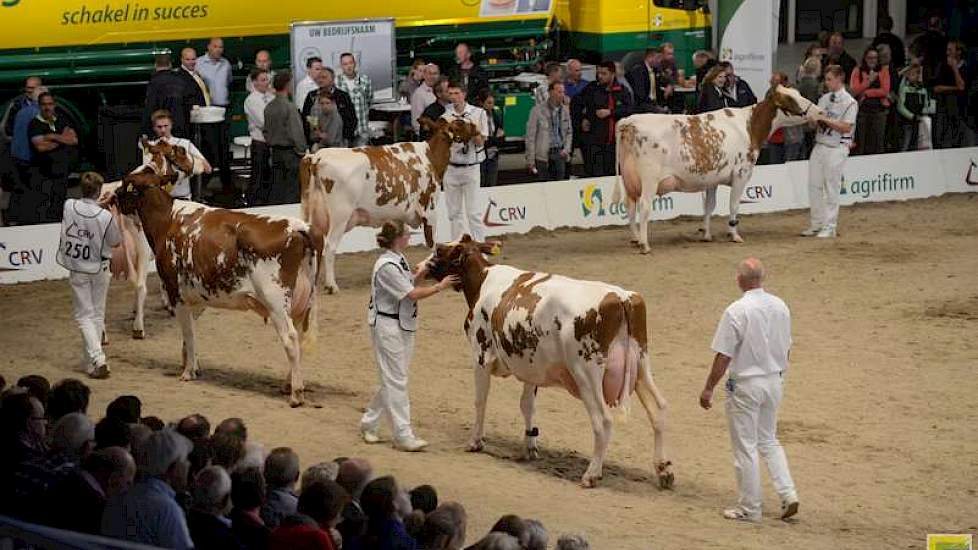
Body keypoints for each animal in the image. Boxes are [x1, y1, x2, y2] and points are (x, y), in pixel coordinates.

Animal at [117, 166, 324, 408]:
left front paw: (187, 372)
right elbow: (190, 334)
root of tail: (299, 227)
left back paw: (296, 393)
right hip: (303, 303)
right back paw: (288, 384)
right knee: (299, 338)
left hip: (276, 302)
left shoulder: (176, 292)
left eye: (125, 184)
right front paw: (192, 365)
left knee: (290, 338)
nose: (114, 197)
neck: (167, 221)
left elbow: (189, 333)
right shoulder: (197, 296)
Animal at [300, 118, 478, 296]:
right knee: (330, 246)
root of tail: (316, 156)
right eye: (460, 122)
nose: (476, 127)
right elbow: (432, 243)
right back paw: (331, 286)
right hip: (340, 214)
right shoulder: (430, 210)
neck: (429, 157)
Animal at [426, 237, 672, 492]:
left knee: (603, 420)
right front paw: (530, 446)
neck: (483, 280)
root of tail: (621, 297)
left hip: (586, 373)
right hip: (641, 365)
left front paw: (475, 441)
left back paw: (591, 474)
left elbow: (480, 401)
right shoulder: (530, 367)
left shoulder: (480, 355)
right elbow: (527, 405)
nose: (427, 263)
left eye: (444, 250)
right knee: (659, 408)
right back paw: (663, 470)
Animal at [612, 84, 820, 254]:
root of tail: (629, 121)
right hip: (649, 178)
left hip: (629, 179)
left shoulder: (712, 179)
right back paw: (644, 245)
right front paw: (734, 234)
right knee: (644, 206)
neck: (749, 127)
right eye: (790, 99)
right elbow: (734, 205)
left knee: (630, 207)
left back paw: (635, 239)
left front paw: (706, 234)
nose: (818, 111)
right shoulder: (741, 173)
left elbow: (709, 206)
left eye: (798, 94)